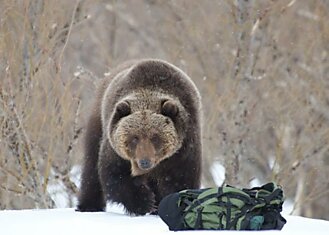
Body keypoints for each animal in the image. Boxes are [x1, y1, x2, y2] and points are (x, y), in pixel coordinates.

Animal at [76, 59, 201, 215]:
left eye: (155, 137)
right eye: (134, 138)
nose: (144, 162)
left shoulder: (184, 147)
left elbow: (181, 178)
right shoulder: (115, 149)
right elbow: (115, 174)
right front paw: (145, 201)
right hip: (97, 124)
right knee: (91, 167)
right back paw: (88, 206)